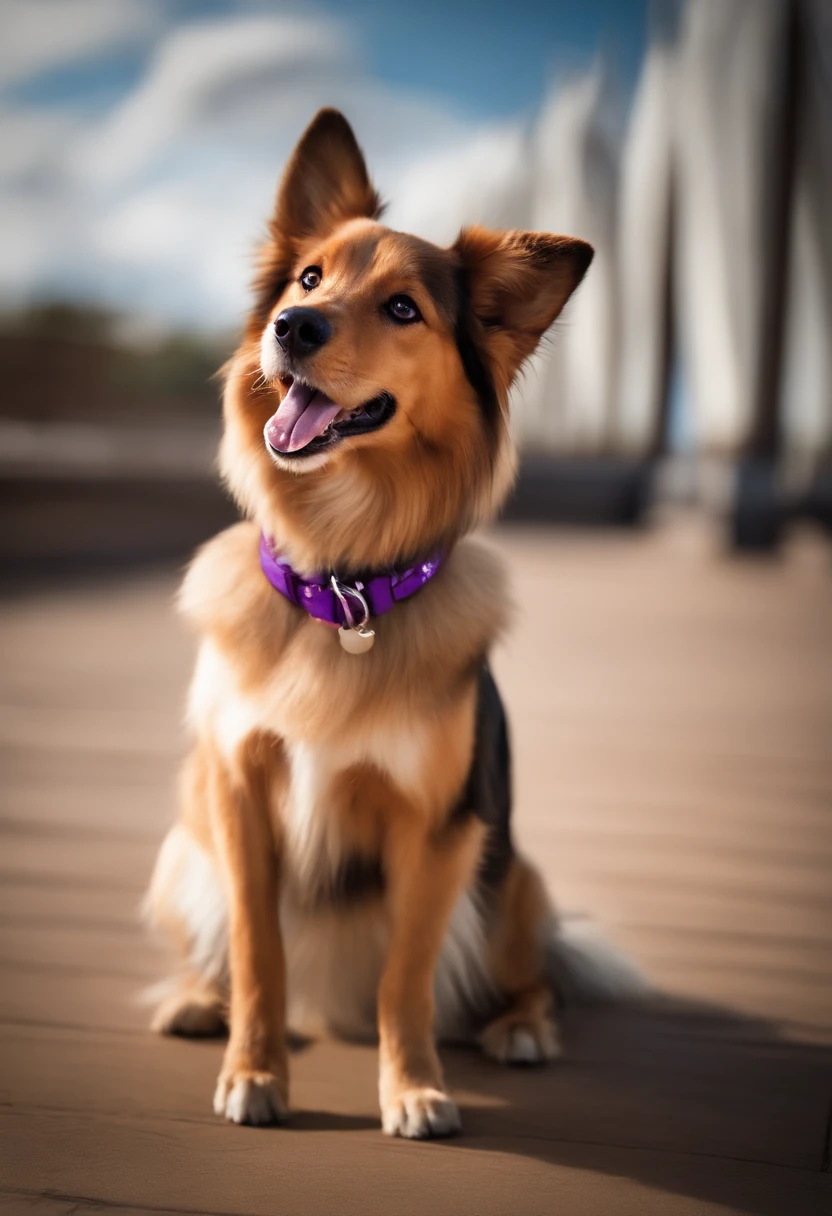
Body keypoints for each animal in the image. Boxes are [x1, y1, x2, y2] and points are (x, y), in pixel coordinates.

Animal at [145, 107, 632, 1138]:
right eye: (308, 279)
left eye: (405, 309)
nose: (291, 327)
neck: (345, 581)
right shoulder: (236, 792)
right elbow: (257, 951)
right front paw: (256, 1069)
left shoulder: (441, 828)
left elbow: (406, 979)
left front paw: (412, 1088)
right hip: (183, 840)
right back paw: (197, 998)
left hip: (514, 875)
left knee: (530, 977)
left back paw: (519, 1027)